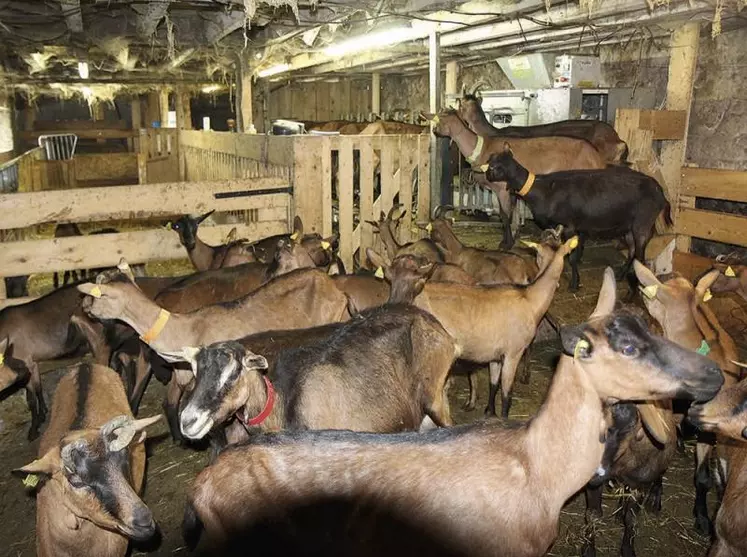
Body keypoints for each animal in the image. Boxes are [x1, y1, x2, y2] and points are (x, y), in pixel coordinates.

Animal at [486, 143, 672, 292]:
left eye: (494, 167)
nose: (486, 175)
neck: (543, 190)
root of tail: (661, 194)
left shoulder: (570, 226)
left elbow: (573, 257)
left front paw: (574, 284)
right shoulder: (572, 227)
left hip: (642, 224)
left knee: (640, 256)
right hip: (628, 227)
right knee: (632, 251)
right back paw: (620, 275)